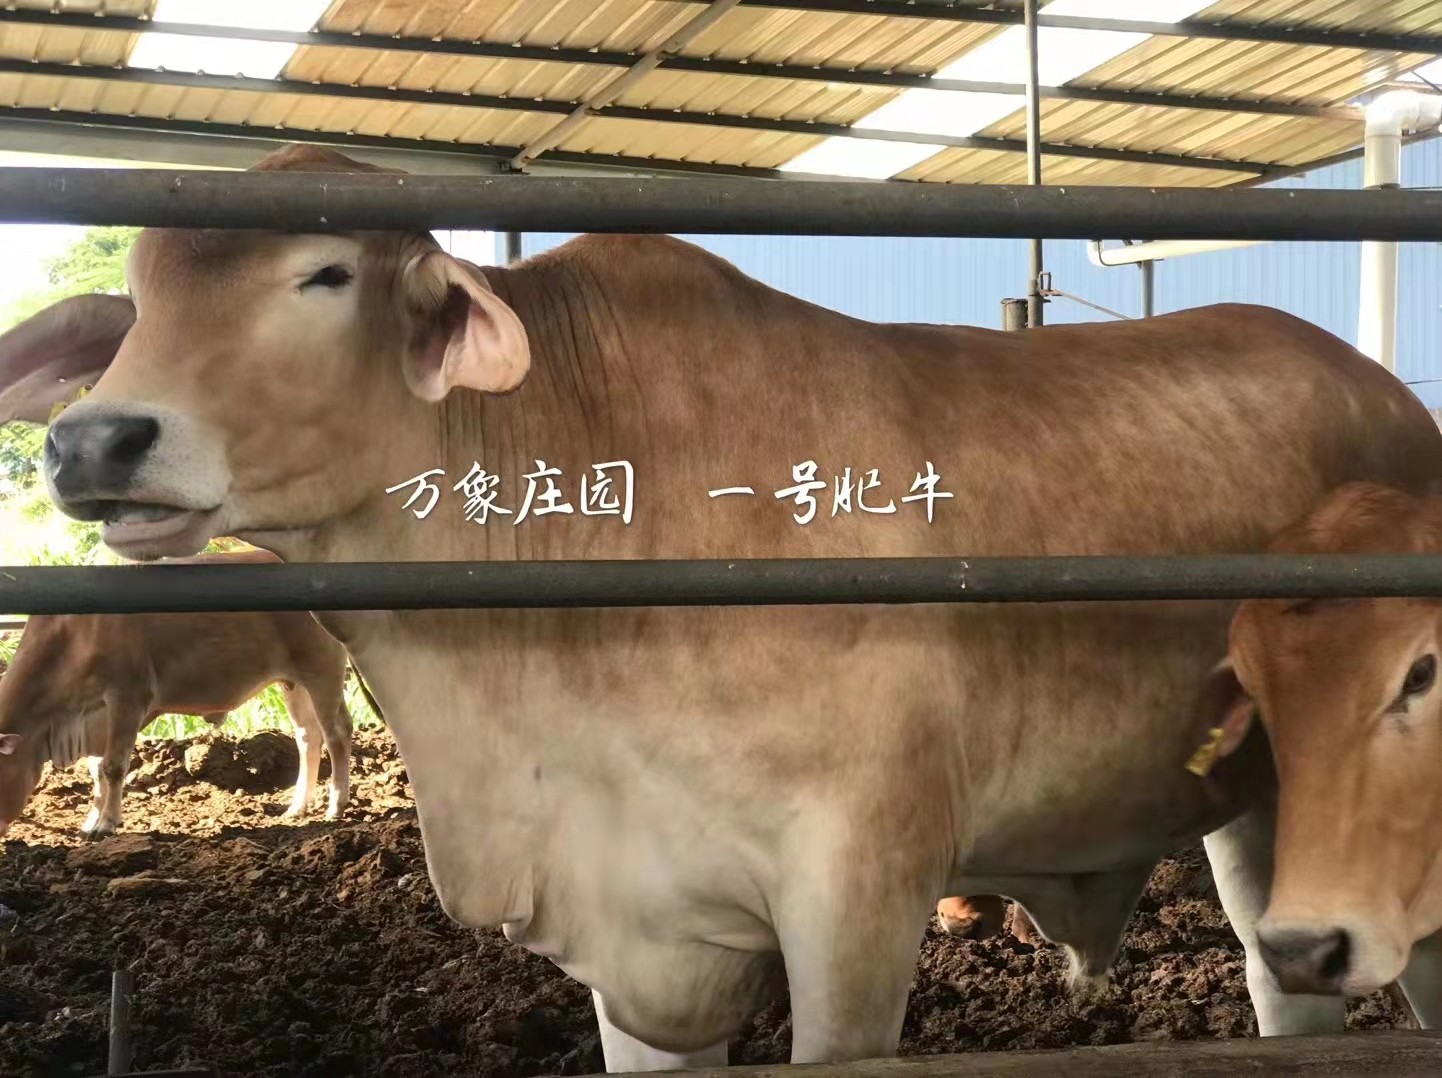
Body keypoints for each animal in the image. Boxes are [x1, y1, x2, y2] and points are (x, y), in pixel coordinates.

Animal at [0, 548, 355, 837]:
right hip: (294, 681)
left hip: (322, 668)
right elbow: (96, 771)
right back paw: (297, 806)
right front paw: (91, 821)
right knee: (308, 736)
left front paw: (107, 823)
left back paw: (335, 805)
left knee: (336, 733)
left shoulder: (128, 695)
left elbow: (113, 766)